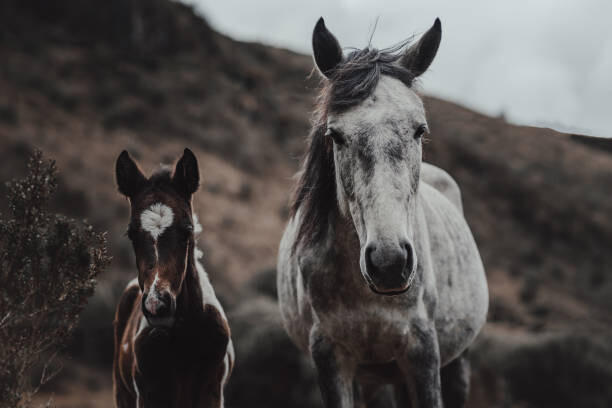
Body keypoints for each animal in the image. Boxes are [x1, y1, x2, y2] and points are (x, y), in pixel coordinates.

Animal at [278, 17, 488, 406]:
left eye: (419, 130)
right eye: (335, 135)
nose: (389, 262)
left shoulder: (423, 352)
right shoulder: (330, 357)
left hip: (456, 361)